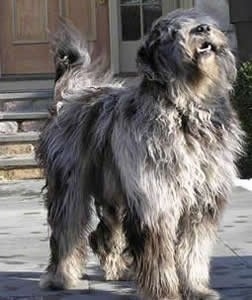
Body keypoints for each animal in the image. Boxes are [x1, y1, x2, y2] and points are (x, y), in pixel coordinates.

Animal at [37, 8, 244, 300]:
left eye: (202, 21)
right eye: (172, 31)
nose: (202, 29)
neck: (185, 110)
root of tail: (69, 96)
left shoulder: (201, 205)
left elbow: (193, 253)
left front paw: (196, 288)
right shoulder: (156, 200)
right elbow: (159, 258)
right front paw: (164, 293)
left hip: (114, 192)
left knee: (104, 233)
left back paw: (116, 268)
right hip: (71, 187)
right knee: (68, 229)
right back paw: (61, 277)